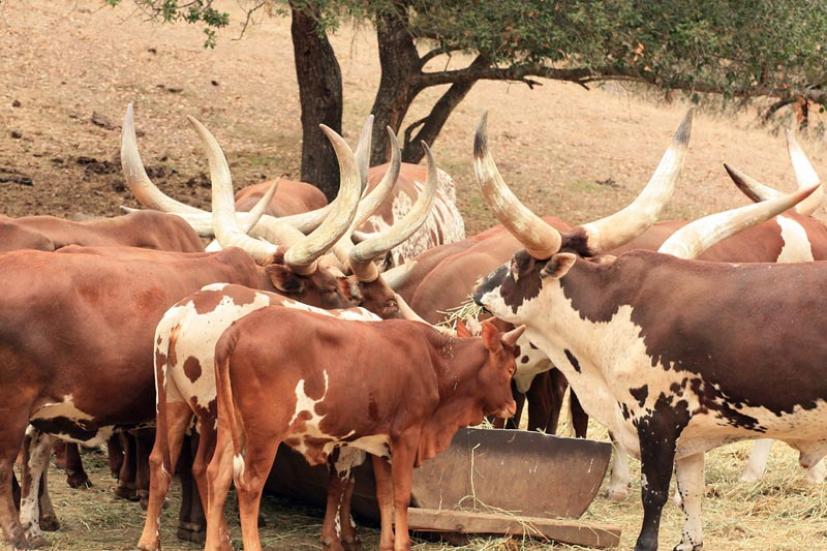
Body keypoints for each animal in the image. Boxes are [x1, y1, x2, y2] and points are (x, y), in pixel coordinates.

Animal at [0, 117, 378, 551]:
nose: (358, 310)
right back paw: (18, 533)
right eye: (330, 288)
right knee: (7, 463)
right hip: (13, 405)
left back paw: (35, 526)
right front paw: (201, 527)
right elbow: (203, 468)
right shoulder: (213, 410)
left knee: (34, 455)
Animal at [135, 144, 444, 551]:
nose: (429, 327)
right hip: (219, 414)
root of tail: (179, 319)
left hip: (172, 401)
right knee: (214, 469)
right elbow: (344, 478)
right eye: (391, 302)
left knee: (163, 461)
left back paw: (154, 540)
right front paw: (340, 535)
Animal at [204, 308, 520, 551]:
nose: (513, 406)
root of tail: (238, 329)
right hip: (263, 437)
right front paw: (402, 543)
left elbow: (384, 495)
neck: (435, 362)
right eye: (510, 369)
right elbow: (401, 495)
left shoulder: (381, 443)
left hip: (230, 427)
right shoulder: (407, 435)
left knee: (217, 476)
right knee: (249, 485)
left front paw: (387, 543)